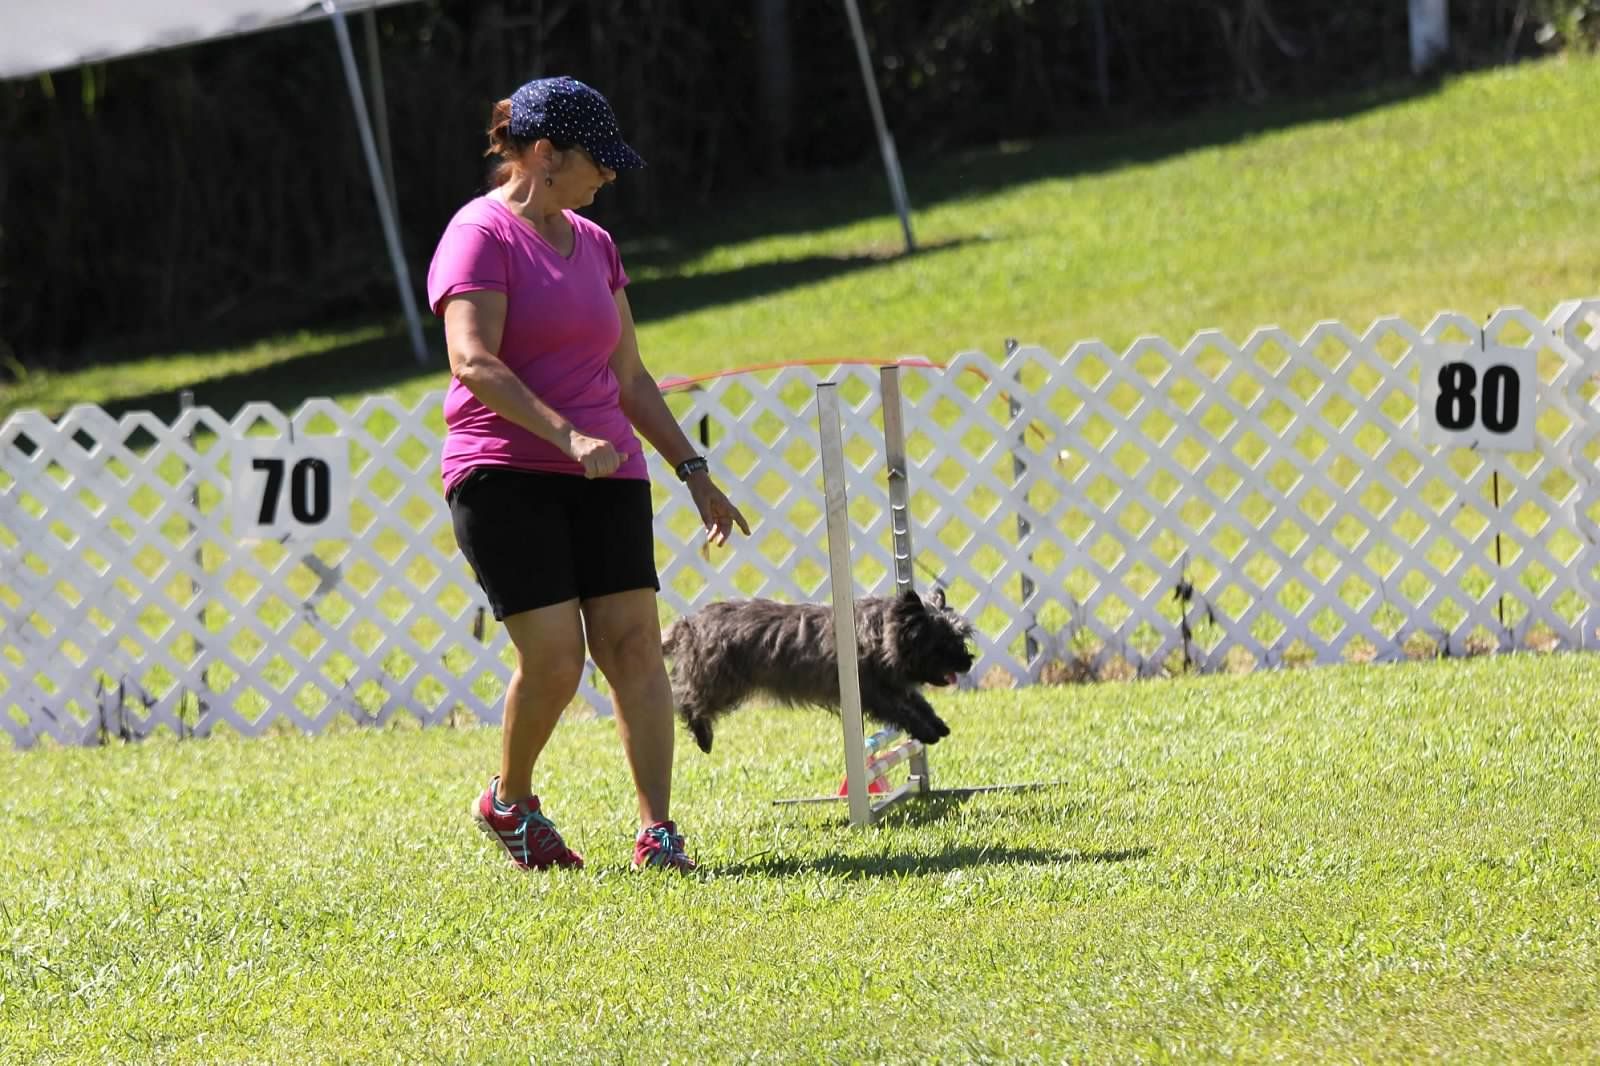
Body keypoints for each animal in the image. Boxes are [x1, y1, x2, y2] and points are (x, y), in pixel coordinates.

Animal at [661, 587, 976, 754]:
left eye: (961, 637)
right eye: (942, 644)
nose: (968, 662)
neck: (880, 635)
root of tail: (688, 624)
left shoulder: (894, 686)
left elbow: (918, 702)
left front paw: (936, 723)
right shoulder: (872, 693)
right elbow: (901, 711)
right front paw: (925, 731)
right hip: (720, 682)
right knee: (685, 699)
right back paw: (703, 736)